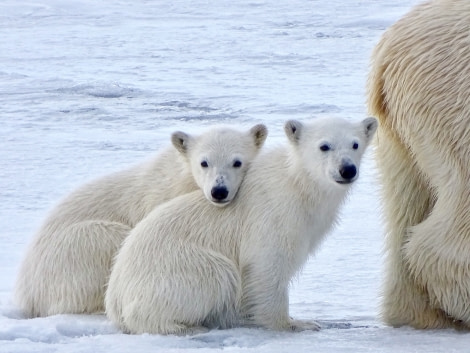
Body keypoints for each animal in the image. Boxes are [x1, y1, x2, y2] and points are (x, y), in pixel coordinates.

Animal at [15, 123, 268, 316]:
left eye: (237, 162)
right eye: (204, 162)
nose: (219, 191)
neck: (183, 178)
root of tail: (26, 292)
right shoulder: (161, 199)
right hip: (72, 251)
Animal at [106, 116, 378, 332]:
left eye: (355, 144)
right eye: (324, 146)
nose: (347, 169)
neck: (299, 186)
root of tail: (114, 298)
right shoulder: (273, 215)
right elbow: (267, 266)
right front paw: (296, 323)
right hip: (174, 268)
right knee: (217, 273)